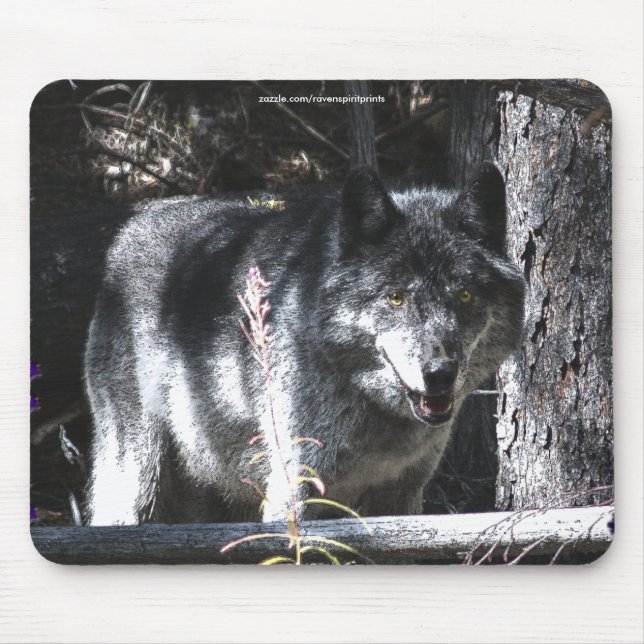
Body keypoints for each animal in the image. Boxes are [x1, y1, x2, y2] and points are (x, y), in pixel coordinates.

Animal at [84, 162, 526, 525]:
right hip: (136, 482)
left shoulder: (401, 495)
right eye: (396, 297)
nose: (439, 374)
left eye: (464, 295)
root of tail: (129, 228)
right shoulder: (294, 488)